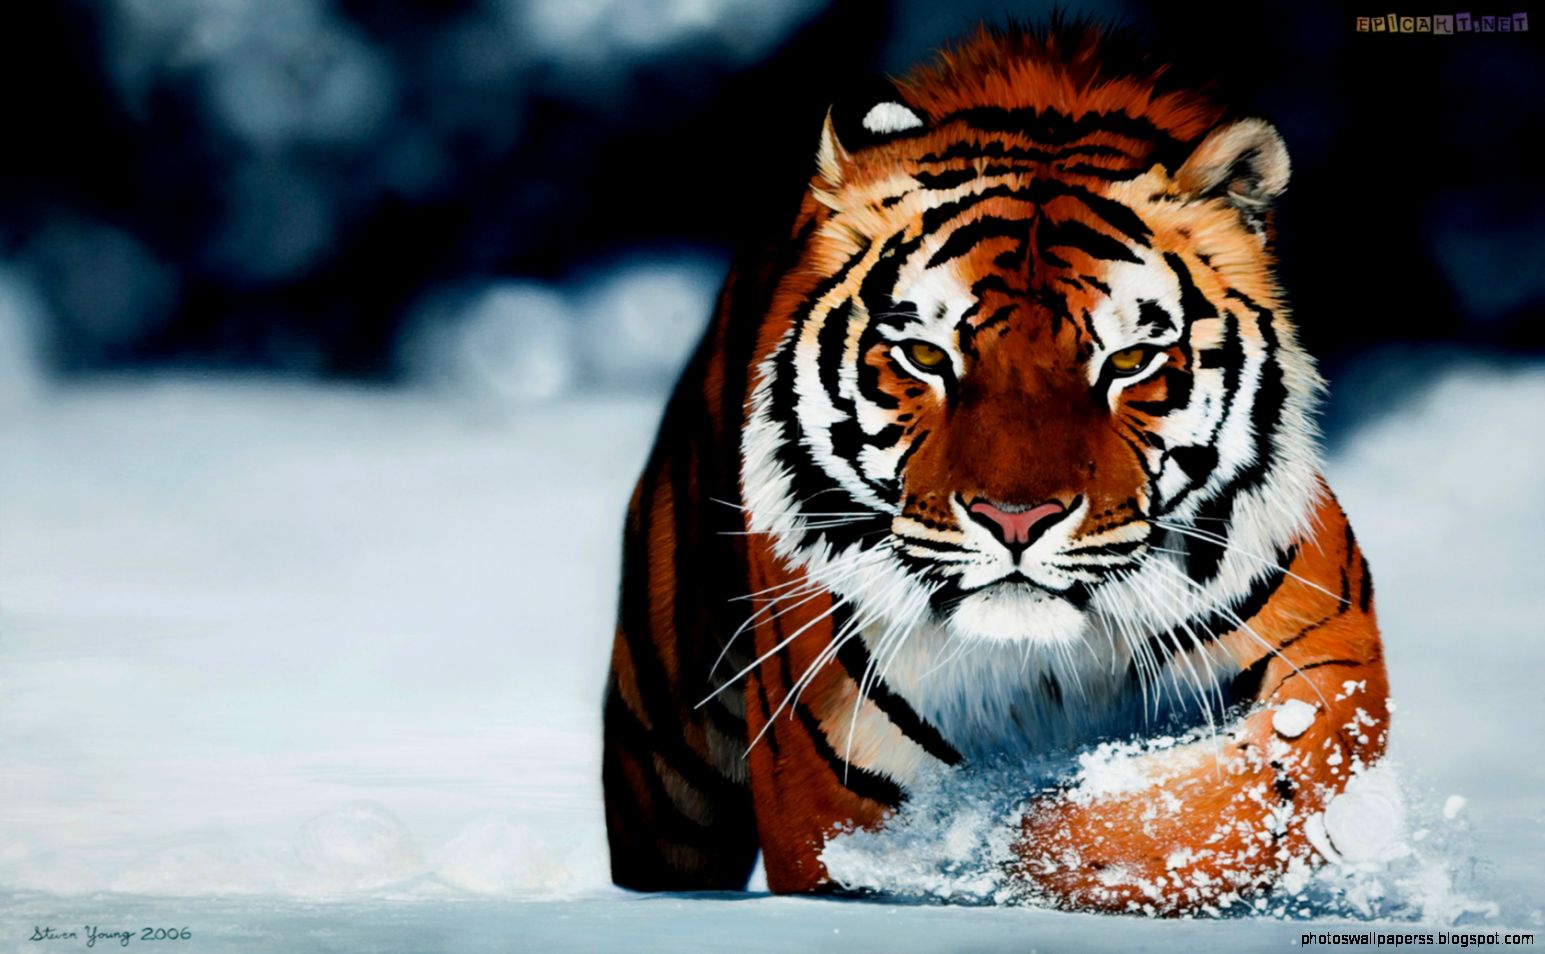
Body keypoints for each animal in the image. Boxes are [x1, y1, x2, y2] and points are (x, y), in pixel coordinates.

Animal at [601, 20, 1388, 915]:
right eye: (923, 355)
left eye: (1128, 361)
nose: (1016, 522)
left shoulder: (1331, 652)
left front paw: (1026, 845)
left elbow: (1222, 797)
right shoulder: (827, 787)